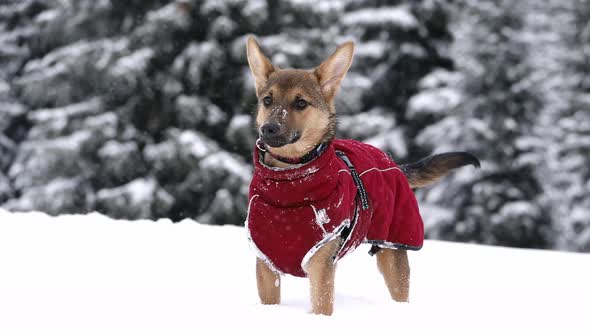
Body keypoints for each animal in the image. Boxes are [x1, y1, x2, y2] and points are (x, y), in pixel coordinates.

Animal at [245, 35, 480, 316]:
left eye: (300, 103)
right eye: (267, 101)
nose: (268, 129)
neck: (289, 185)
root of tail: (393, 163)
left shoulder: (321, 264)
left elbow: (321, 307)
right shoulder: (265, 265)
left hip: (394, 254)